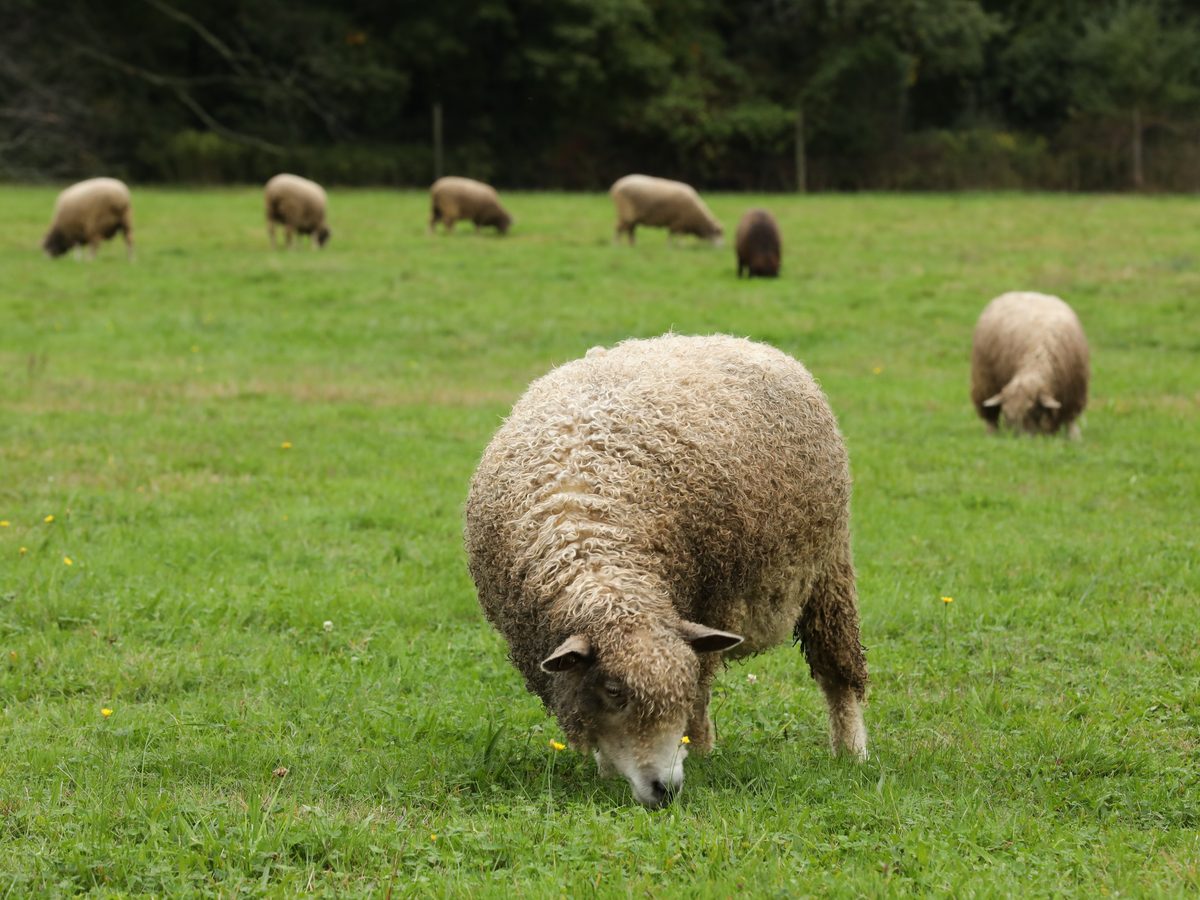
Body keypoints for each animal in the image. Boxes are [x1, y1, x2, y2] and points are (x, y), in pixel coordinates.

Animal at [465, 334, 868, 807]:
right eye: (614, 692)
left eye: (679, 689)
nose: (666, 789)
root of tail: (744, 341)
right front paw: (607, 770)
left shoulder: (710, 604)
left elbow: (699, 695)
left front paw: (694, 752)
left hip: (828, 566)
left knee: (837, 671)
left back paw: (852, 753)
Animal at [971, 291, 1090, 437]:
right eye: (1007, 415)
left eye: (1032, 410)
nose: (1018, 438)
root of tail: (1020, 292)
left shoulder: (1073, 394)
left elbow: (1070, 421)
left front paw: (1074, 437)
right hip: (984, 381)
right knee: (990, 416)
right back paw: (991, 434)